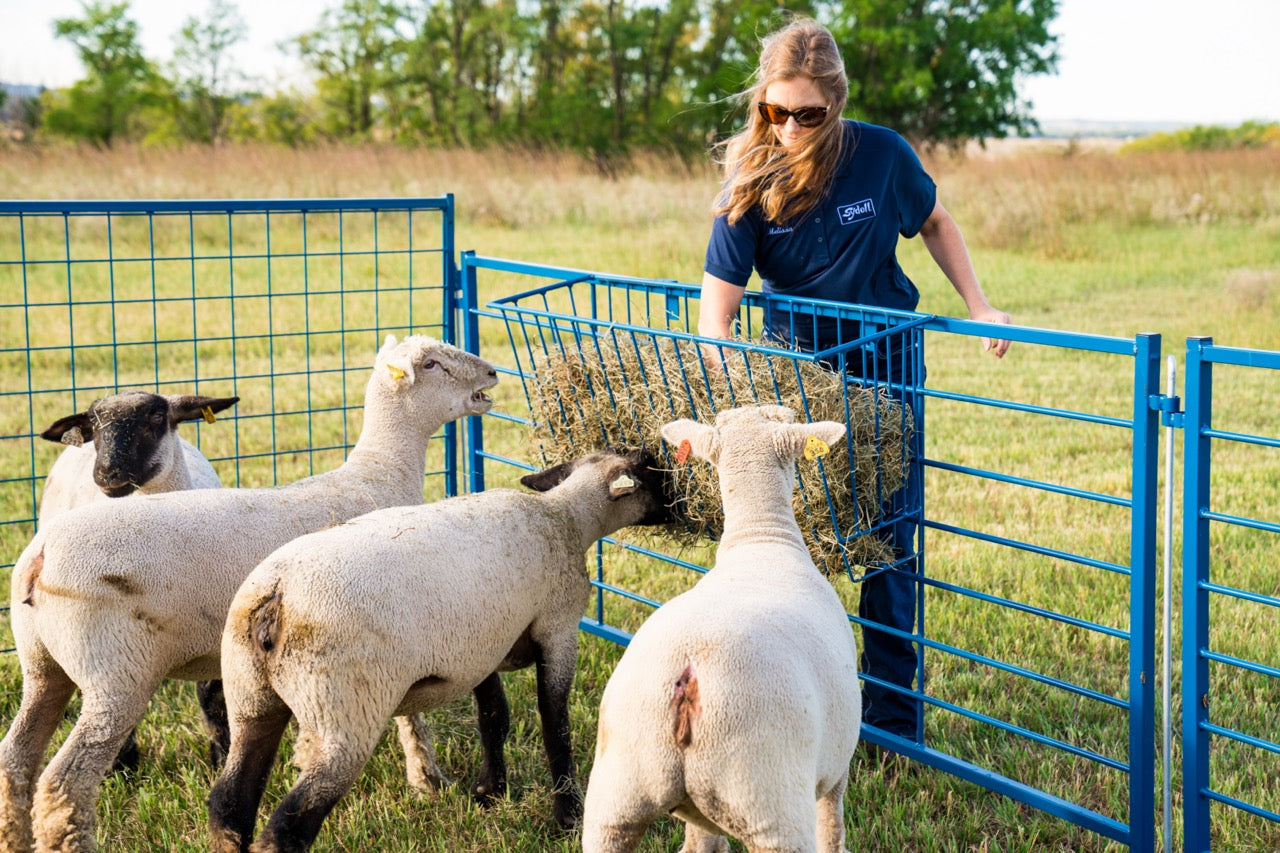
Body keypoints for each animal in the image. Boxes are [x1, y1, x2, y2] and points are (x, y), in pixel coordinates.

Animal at [205, 445, 674, 853]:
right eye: (652, 469)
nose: (679, 507)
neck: (564, 517)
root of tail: (275, 597)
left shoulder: (483, 647)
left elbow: (493, 717)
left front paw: (490, 792)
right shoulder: (557, 629)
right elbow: (554, 724)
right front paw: (569, 815)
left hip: (249, 697)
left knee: (228, 804)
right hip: (342, 713)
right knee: (287, 829)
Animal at [581, 405, 861, 853]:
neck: (761, 539)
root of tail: (689, 675)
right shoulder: (837, 766)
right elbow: (833, 831)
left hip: (617, 796)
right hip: (770, 800)